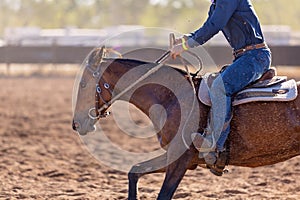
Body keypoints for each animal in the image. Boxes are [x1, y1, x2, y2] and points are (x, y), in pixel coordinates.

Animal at [72, 46, 300, 199]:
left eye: (83, 84)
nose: (76, 124)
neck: (171, 97)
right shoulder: (177, 157)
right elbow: (134, 171)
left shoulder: (179, 159)